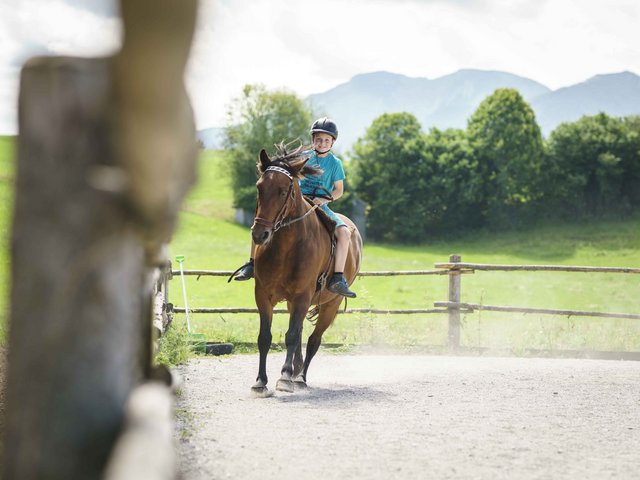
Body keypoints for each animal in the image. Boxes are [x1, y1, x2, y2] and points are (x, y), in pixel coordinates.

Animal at [250, 144, 362, 392]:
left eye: (284, 191)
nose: (259, 234)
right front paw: (260, 381)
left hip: (330, 304)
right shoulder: (263, 294)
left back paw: (300, 377)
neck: (286, 247)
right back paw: (296, 372)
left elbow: (292, 336)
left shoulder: (302, 295)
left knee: (313, 340)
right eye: (259, 187)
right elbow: (265, 337)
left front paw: (284, 377)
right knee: (301, 333)